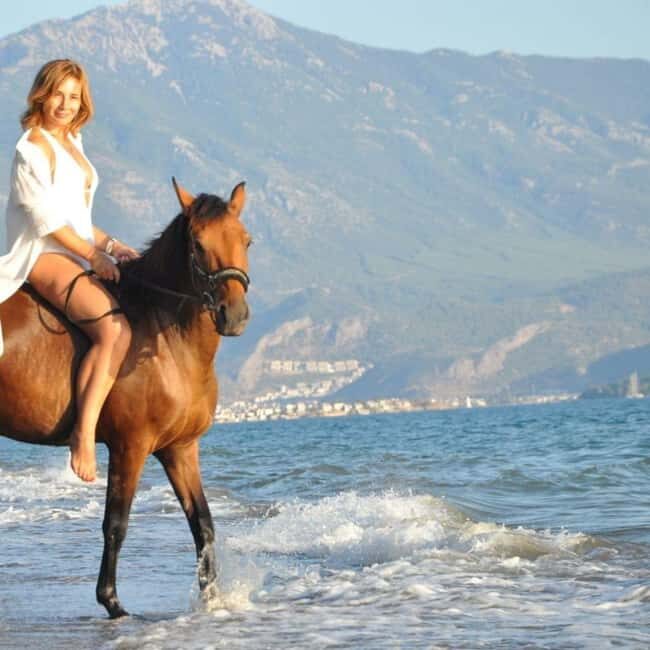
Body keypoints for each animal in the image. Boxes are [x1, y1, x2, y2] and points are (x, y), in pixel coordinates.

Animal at [0, 179, 251, 618]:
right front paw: (112, 602)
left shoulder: (180, 448)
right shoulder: (129, 446)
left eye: (247, 241)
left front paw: (212, 599)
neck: (165, 335)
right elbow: (116, 524)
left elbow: (203, 525)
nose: (233, 314)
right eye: (198, 244)